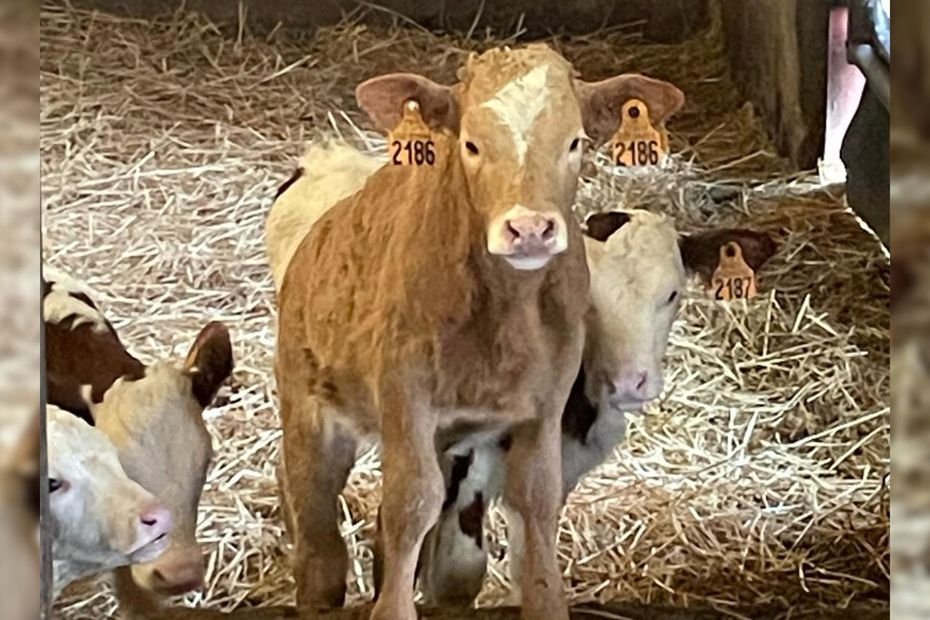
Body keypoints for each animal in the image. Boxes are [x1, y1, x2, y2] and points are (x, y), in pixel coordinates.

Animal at [272, 44, 685, 620]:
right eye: (470, 143)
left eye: (574, 142)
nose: (530, 228)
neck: (500, 321)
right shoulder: (405, 398)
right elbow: (409, 504)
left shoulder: (543, 407)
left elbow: (535, 501)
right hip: (310, 410)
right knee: (316, 526)